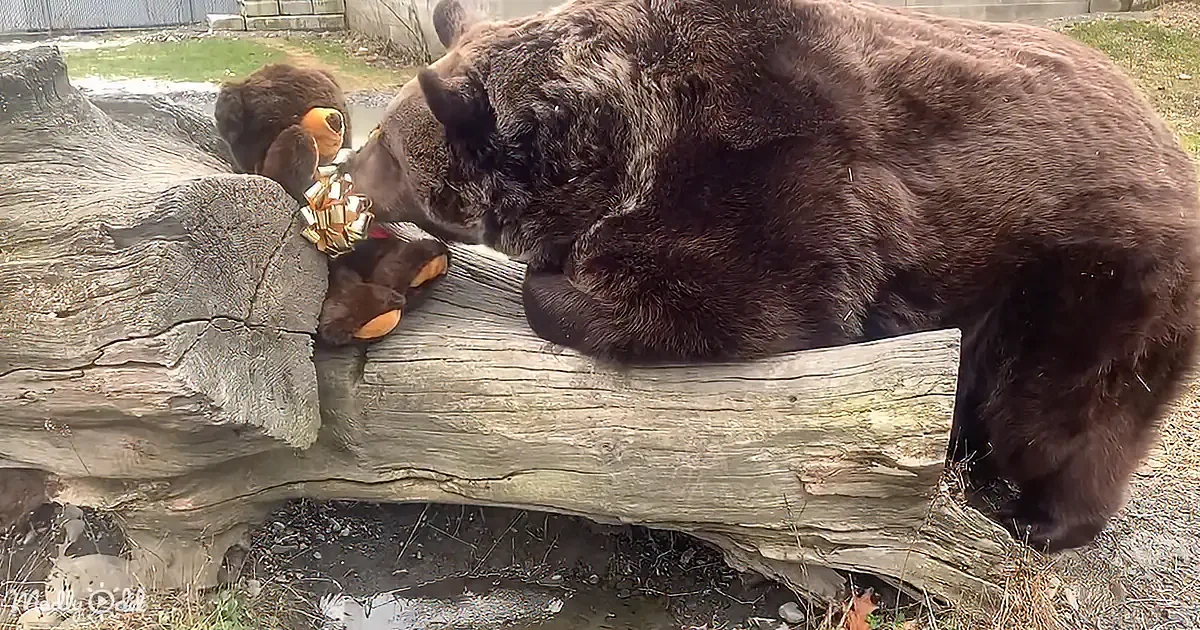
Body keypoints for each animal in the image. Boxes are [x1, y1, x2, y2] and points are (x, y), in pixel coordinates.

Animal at [345, 0, 1200, 553]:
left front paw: (561, 275)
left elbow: (742, 302)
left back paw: (1043, 518)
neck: (612, 142)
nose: (347, 168)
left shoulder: (772, 171)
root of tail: (1167, 141)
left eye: (388, 149)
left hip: (1086, 268)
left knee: (1063, 407)